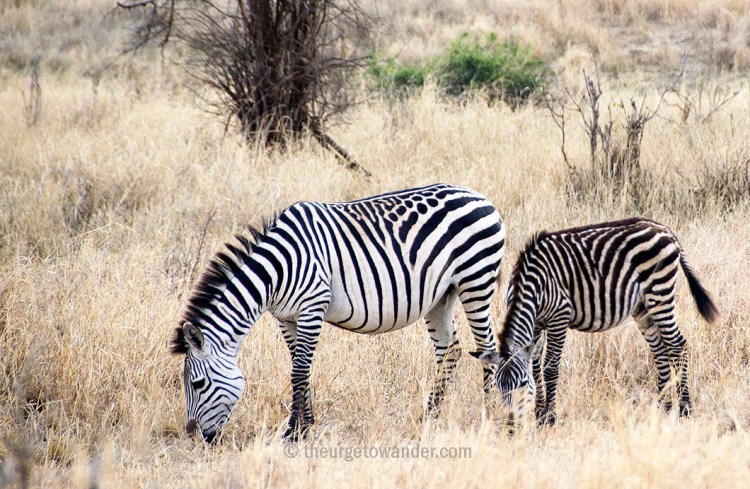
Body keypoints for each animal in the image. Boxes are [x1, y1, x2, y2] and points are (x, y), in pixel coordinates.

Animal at [170, 184, 506, 442]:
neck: (276, 271)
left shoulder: (312, 306)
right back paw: (430, 415)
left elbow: (299, 370)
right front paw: (307, 425)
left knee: (487, 346)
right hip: (442, 295)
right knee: (450, 350)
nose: (196, 437)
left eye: (198, 385)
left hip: (475, 281)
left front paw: (292, 432)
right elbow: (300, 366)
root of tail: (479, 196)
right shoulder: (286, 317)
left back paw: (489, 413)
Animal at [470, 217, 718, 427]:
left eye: (521, 384)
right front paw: (539, 413)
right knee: (659, 350)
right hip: (642, 305)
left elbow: (550, 366)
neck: (532, 285)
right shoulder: (537, 324)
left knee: (677, 345)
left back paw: (684, 409)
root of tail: (663, 228)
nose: (511, 426)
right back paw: (662, 407)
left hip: (660, 292)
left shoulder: (559, 317)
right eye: (498, 386)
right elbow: (536, 365)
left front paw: (549, 418)